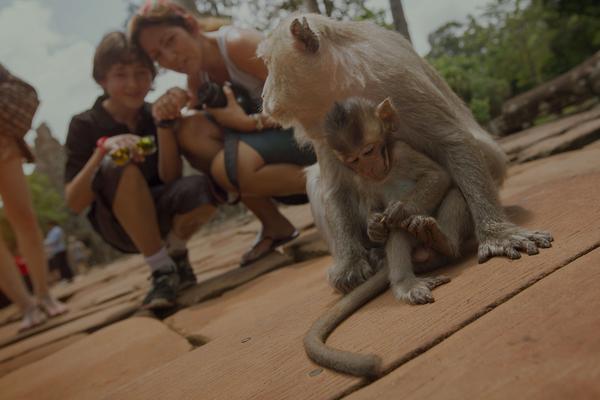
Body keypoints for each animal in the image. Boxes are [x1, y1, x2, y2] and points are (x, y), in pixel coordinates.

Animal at [258, 14, 552, 294]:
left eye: (268, 63)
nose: (262, 95)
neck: (341, 79)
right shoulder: (323, 122)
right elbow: (335, 186)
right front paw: (350, 264)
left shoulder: (395, 78)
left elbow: (454, 141)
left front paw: (497, 235)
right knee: (318, 179)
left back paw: (437, 243)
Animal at [304, 97, 468, 378]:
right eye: (353, 159)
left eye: (369, 151)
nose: (369, 168)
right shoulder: (360, 181)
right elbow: (372, 208)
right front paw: (374, 228)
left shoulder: (402, 150)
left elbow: (438, 176)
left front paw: (400, 210)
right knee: (399, 234)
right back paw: (406, 282)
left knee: (450, 196)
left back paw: (442, 240)